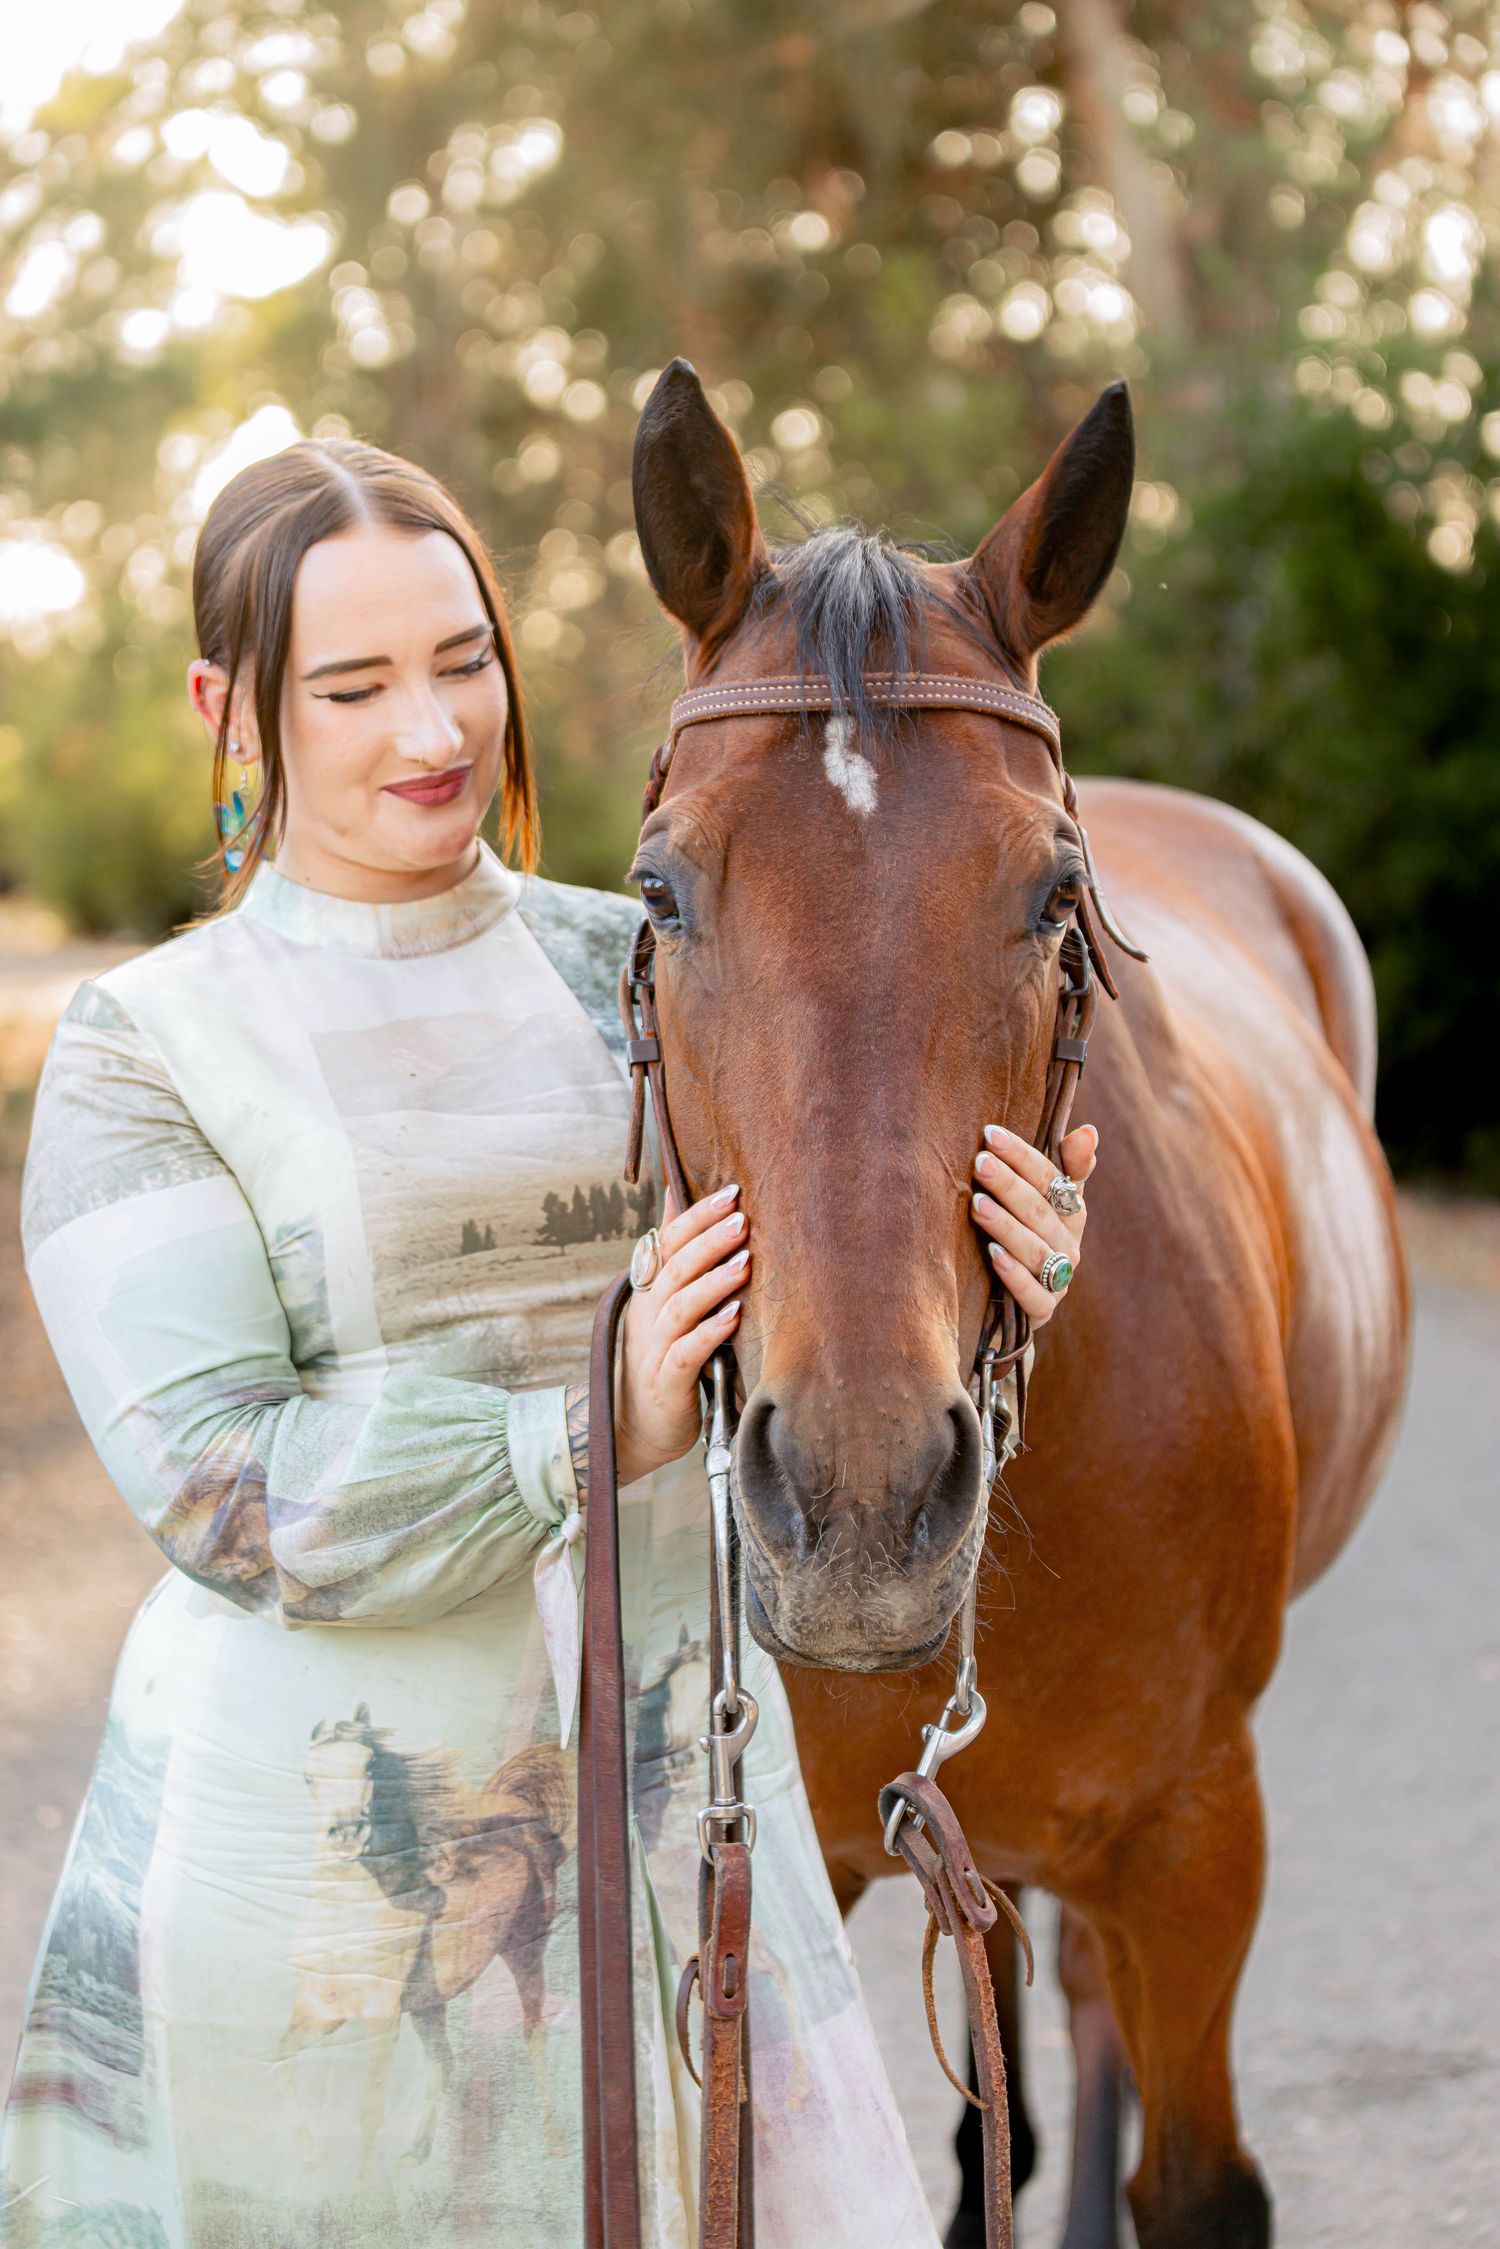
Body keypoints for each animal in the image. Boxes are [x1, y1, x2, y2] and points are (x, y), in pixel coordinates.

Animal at [279, 1707, 572, 2174]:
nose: (347, 1833)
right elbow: (279, 2059)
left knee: (533, 2031)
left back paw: (556, 2141)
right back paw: (416, 2152)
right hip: (430, 2004)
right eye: (309, 1776)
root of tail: (522, 1813)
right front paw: (314, 2156)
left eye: (369, 1767)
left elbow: (370, 2107)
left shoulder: (381, 2019)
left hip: (524, 1954)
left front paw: (365, 2186)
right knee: (444, 2062)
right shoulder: (320, 2008)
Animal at [626, 361, 1410, 2248]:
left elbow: (1188, 2175)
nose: (861, 1504)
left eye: (1057, 895)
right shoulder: (804, 1866)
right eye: (661, 891)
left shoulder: (1197, 1838)